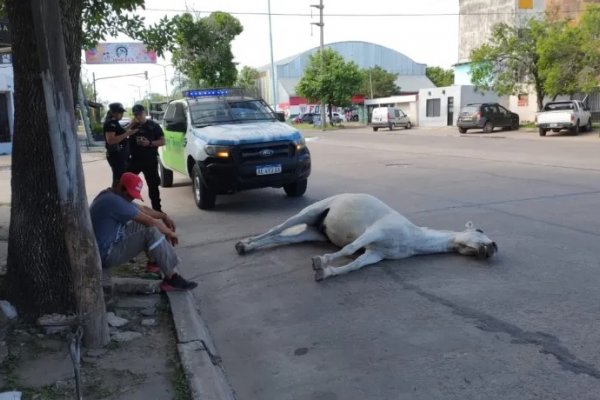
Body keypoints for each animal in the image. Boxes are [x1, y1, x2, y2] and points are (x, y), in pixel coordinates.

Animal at [234, 194, 496, 282]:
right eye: (481, 230)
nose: (493, 247)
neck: (411, 237)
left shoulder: (375, 253)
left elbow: (354, 265)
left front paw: (325, 273)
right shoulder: (374, 232)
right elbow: (349, 249)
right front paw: (321, 261)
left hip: (310, 233)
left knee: (279, 240)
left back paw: (247, 248)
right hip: (306, 213)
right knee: (276, 229)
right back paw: (243, 244)